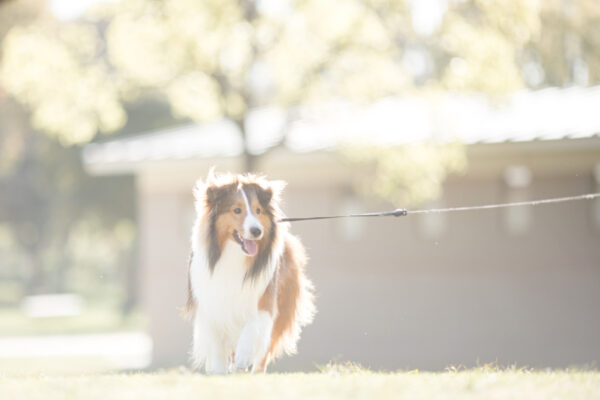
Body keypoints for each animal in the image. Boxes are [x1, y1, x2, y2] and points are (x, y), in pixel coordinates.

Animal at [182, 170, 314, 374]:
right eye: (237, 210)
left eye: (258, 211)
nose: (257, 231)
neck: (233, 255)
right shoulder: (211, 303)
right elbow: (217, 344)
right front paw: (217, 370)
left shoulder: (264, 299)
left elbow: (252, 327)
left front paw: (244, 356)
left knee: (262, 352)